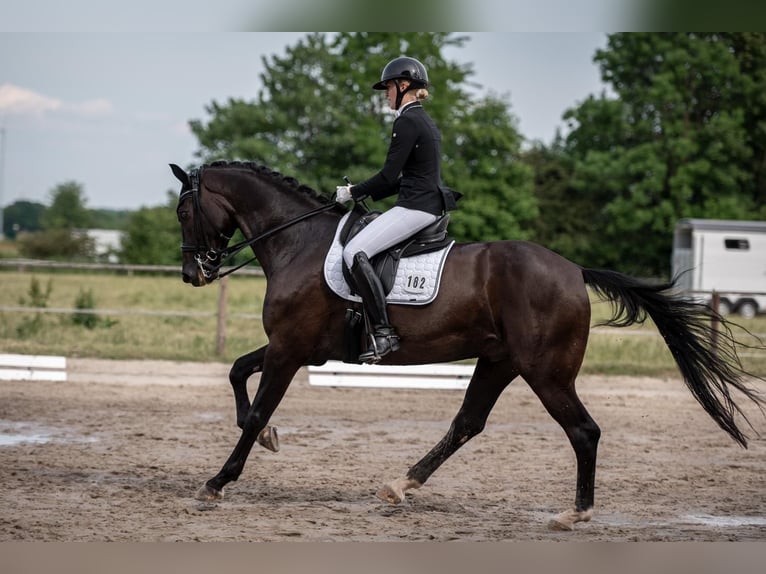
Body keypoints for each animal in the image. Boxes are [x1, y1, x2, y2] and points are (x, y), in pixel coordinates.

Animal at [171, 161, 764, 532]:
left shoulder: (290, 348)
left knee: (583, 431)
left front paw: (218, 482)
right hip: (500, 361)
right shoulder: (294, 348)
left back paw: (575, 514)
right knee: (467, 423)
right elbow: (236, 373)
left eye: (182, 211)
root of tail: (574, 270)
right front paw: (267, 439)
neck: (298, 241)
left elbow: (254, 407)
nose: (192, 274)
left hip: (545, 371)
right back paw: (401, 484)